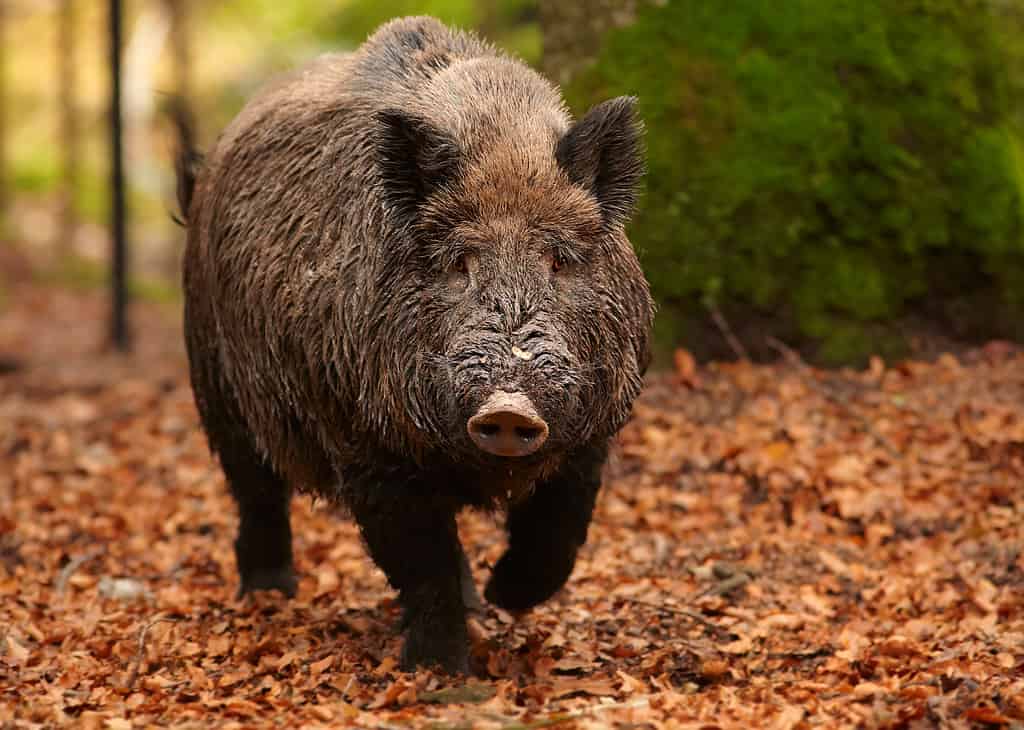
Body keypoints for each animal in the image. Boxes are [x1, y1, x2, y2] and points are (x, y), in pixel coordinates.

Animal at [175, 15, 654, 674]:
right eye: (458, 262)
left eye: (558, 259)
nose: (510, 406)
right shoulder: (364, 439)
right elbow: (419, 562)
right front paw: (439, 669)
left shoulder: (594, 431)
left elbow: (559, 533)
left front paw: (506, 601)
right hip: (216, 383)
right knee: (255, 491)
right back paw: (269, 596)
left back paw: (479, 602)